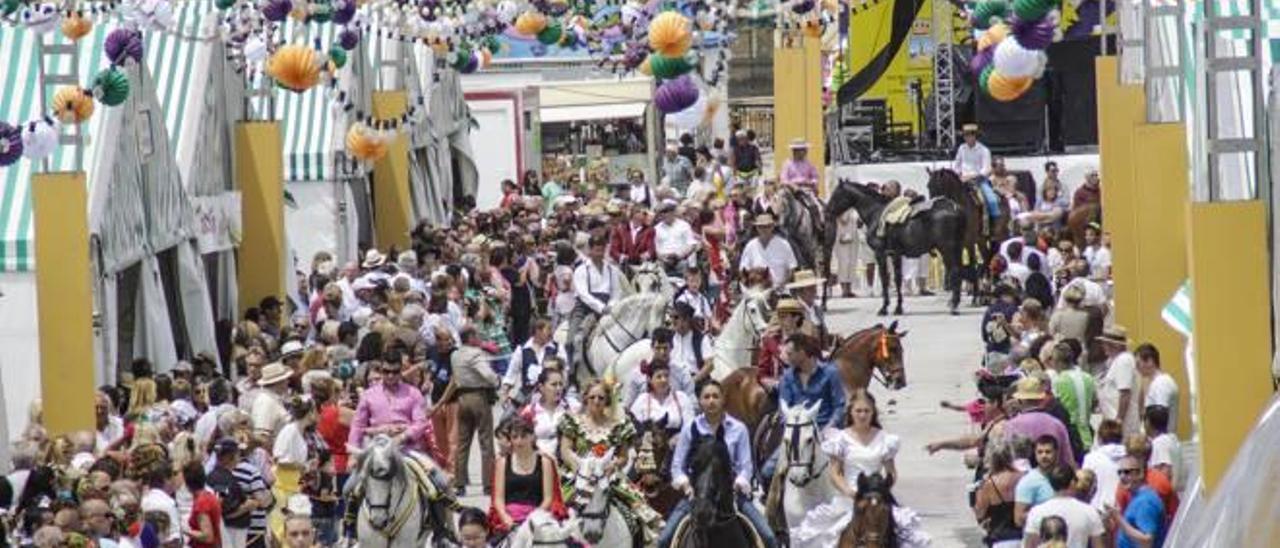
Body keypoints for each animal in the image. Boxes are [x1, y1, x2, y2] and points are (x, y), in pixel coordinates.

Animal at [824, 179, 962, 314]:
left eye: (836, 195)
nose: (827, 212)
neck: (876, 213)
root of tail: (954, 208)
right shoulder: (895, 254)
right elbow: (897, 279)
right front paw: (898, 307)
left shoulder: (881, 254)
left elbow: (886, 278)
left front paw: (885, 307)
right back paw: (954, 303)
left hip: (947, 249)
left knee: (955, 271)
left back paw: (954, 305)